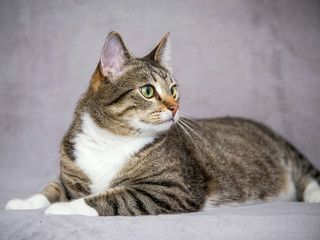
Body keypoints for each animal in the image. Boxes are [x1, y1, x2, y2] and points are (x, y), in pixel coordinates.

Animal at [5, 31, 320, 217]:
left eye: (174, 89)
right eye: (147, 90)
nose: (175, 107)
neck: (111, 139)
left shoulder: (171, 189)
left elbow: (113, 196)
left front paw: (64, 209)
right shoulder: (69, 173)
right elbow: (51, 188)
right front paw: (24, 203)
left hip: (288, 155)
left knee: (306, 174)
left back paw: (315, 195)